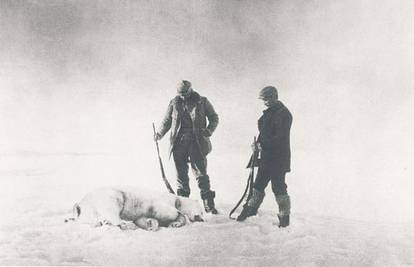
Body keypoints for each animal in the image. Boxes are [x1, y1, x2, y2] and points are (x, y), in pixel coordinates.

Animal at [70, 187, 205, 231]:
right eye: (202, 211)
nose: (201, 218)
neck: (176, 199)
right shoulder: (161, 201)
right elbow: (165, 210)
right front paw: (176, 218)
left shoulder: (142, 213)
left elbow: (142, 218)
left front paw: (151, 224)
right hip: (113, 195)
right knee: (111, 209)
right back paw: (125, 224)